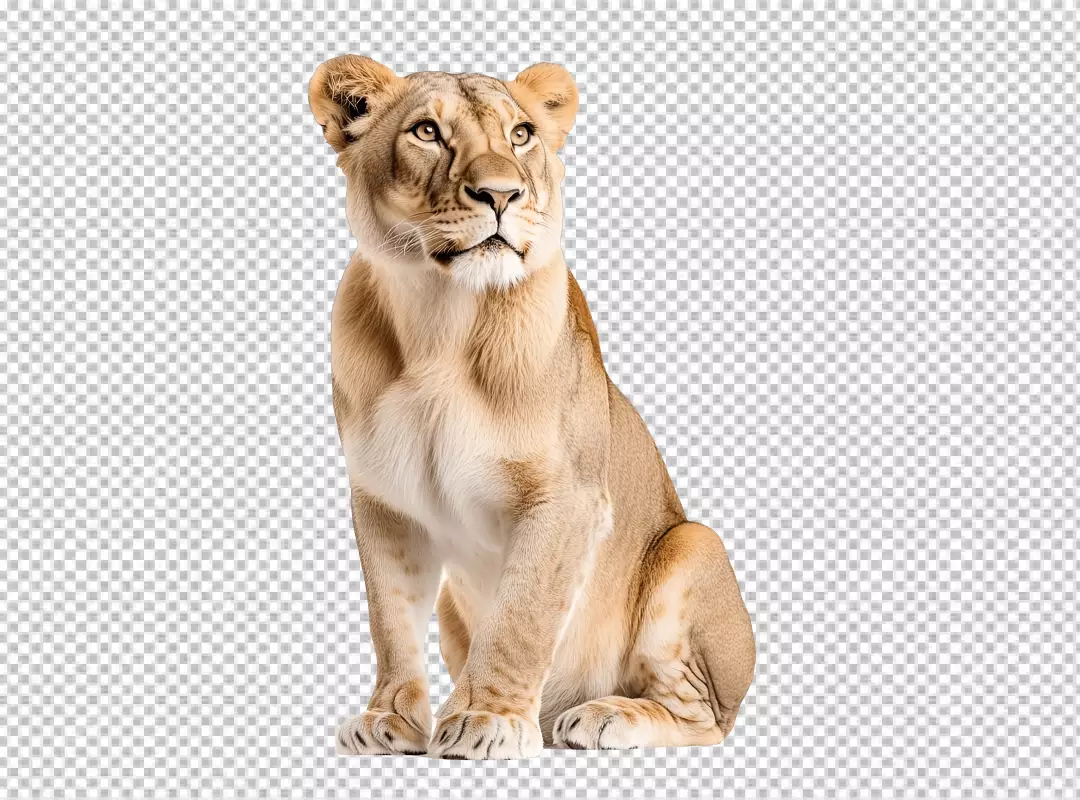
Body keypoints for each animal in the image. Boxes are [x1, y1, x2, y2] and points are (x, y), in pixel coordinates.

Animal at [309, 55, 755, 759]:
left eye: (520, 135)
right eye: (427, 131)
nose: (501, 194)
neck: (441, 323)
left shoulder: (566, 498)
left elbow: (520, 616)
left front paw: (484, 719)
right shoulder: (384, 501)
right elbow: (390, 618)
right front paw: (390, 720)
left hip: (694, 545)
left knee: (704, 716)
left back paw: (602, 716)